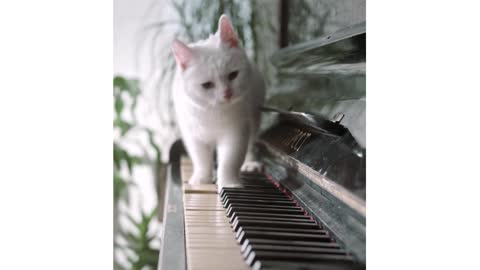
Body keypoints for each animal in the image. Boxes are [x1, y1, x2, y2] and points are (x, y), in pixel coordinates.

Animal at [171, 14, 264, 192]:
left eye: (233, 75)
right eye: (207, 85)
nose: (227, 93)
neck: (212, 112)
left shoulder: (236, 132)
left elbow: (230, 160)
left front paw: (229, 183)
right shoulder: (192, 135)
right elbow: (201, 159)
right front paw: (202, 178)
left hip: (255, 117)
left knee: (251, 143)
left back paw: (250, 163)